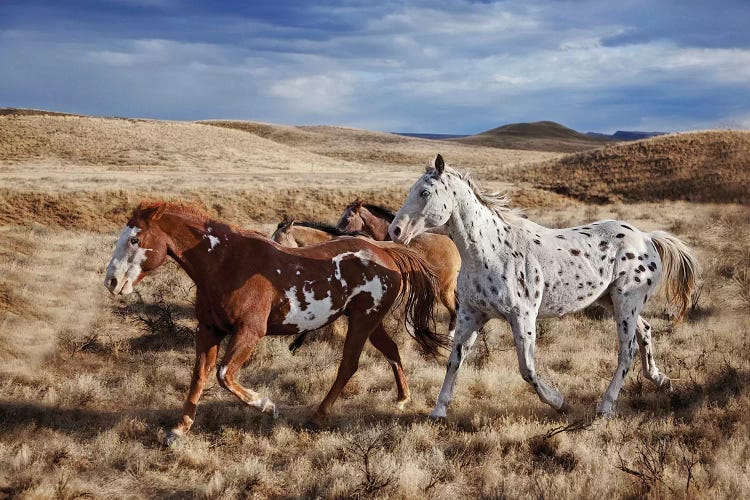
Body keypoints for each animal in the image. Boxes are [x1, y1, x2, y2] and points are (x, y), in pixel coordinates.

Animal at [104, 201, 446, 444]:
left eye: (134, 239)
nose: (112, 281)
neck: (226, 263)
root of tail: (386, 253)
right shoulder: (209, 330)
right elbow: (199, 376)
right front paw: (179, 429)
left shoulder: (249, 332)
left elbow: (224, 375)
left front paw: (266, 405)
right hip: (369, 321)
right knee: (392, 351)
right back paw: (401, 399)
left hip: (363, 322)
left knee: (349, 365)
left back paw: (318, 415)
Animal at [390, 155, 704, 418]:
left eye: (425, 192)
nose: (395, 230)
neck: (490, 251)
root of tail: (647, 238)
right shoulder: (471, 314)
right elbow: (455, 359)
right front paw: (439, 411)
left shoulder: (522, 316)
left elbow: (527, 369)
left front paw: (559, 402)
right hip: (612, 301)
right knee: (646, 331)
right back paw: (661, 380)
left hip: (627, 302)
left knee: (627, 350)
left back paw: (605, 406)